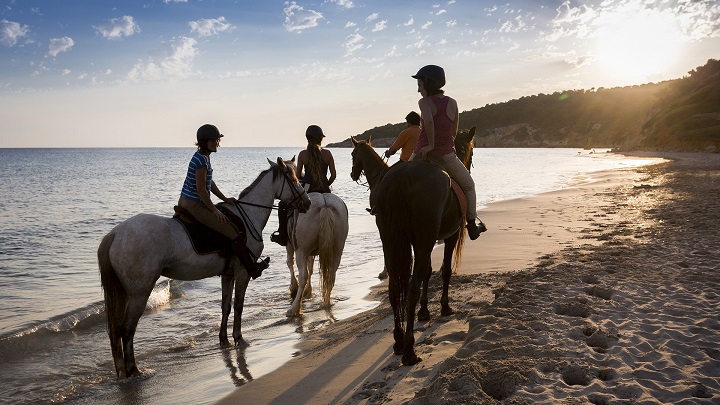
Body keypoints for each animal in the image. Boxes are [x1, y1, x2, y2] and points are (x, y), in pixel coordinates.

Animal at [96, 156, 310, 378]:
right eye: (293, 179)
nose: (307, 202)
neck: (248, 215)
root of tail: (115, 234)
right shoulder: (242, 273)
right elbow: (239, 305)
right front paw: (239, 338)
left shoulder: (228, 274)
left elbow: (226, 306)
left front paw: (224, 340)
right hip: (139, 292)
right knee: (127, 329)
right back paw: (134, 369)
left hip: (123, 292)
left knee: (118, 330)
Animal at [350, 125, 476, 362]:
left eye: (353, 155)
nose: (353, 174)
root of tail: (402, 180)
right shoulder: (447, 236)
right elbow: (443, 271)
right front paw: (441, 307)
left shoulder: (429, 240)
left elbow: (430, 271)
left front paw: (425, 311)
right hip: (418, 239)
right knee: (408, 286)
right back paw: (407, 347)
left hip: (395, 238)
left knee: (398, 287)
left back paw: (401, 342)